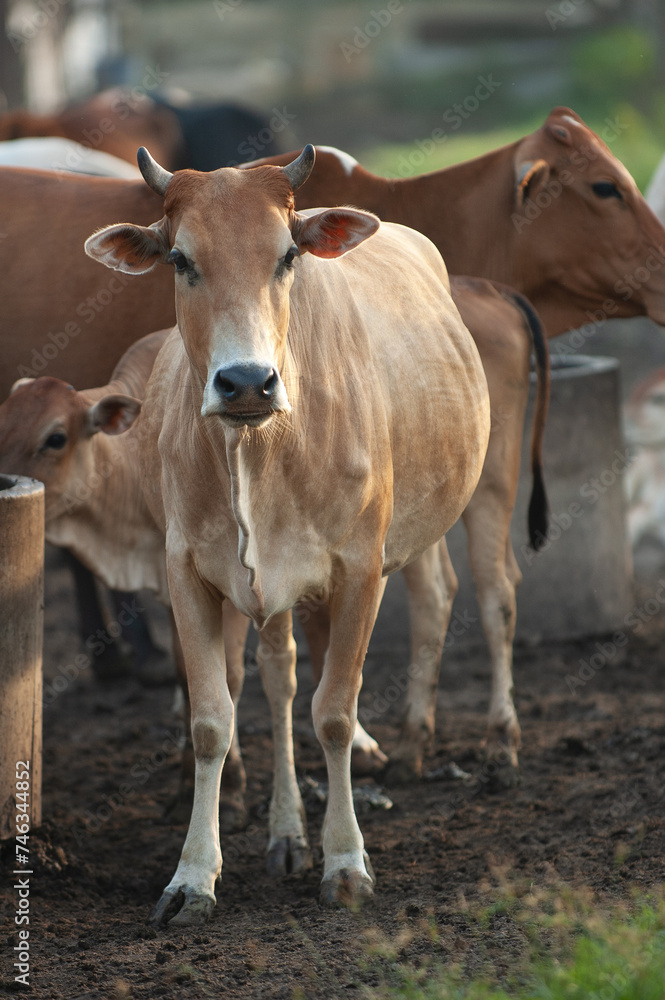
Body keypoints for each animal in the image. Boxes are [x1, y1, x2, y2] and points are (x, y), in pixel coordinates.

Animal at [81, 146, 488, 920]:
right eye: (180, 258)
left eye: (286, 256)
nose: (246, 382)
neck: (260, 446)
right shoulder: (187, 573)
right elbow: (213, 720)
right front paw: (193, 876)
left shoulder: (360, 570)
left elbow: (334, 713)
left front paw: (347, 862)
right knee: (279, 676)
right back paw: (286, 833)